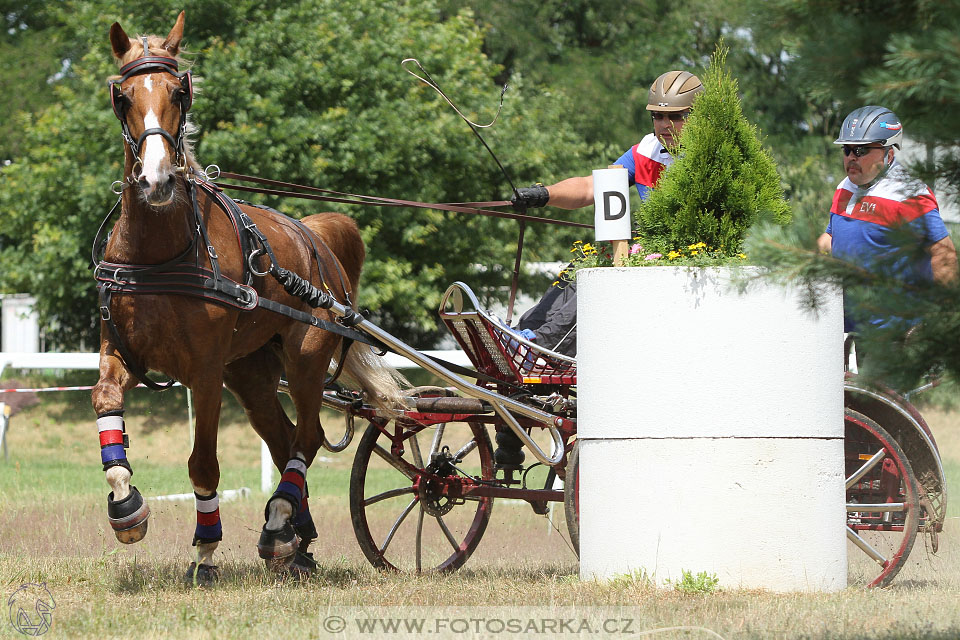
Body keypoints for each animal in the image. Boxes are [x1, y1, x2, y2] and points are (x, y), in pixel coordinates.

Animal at [97, 10, 408, 584]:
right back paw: (296, 537)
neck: (161, 253)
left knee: (307, 436)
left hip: (305, 358)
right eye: (123, 96)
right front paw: (126, 506)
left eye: (179, 91)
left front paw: (205, 549)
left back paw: (281, 523)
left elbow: (203, 464)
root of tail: (314, 237)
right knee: (284, 437)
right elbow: (106, 404)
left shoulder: (204, 371)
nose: (155, 180)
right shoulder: (119, 353)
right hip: (250, 372)